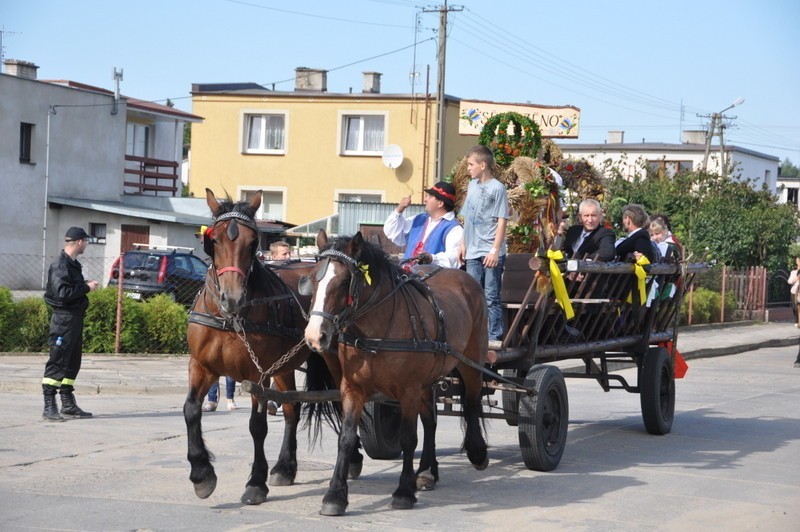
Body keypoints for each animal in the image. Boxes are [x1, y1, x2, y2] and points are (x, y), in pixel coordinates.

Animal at [183, 189, 348, 504]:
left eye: (252, 242)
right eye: (215, 240)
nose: (232, 298)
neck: (229, 319)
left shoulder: (257, 375)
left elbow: (257, 426)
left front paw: (255, 483)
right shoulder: (201, 366)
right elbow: (190, 410)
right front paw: (201, 474)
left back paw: (352, 462)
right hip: (284, 367)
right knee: (292, 410)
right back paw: (285, 467)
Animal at [300, 232, 488, 516]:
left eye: (343, 282)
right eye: (312, 279)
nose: (314, 336)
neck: (375, 332)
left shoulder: (408, 390)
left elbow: (408, 438)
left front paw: (403, 492)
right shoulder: (352, 388)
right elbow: (346, 438)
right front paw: (335, 496)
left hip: (472, 362)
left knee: (473, 402)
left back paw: (477, 452)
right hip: (428, 380)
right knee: (431, 421)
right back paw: (427, 472)